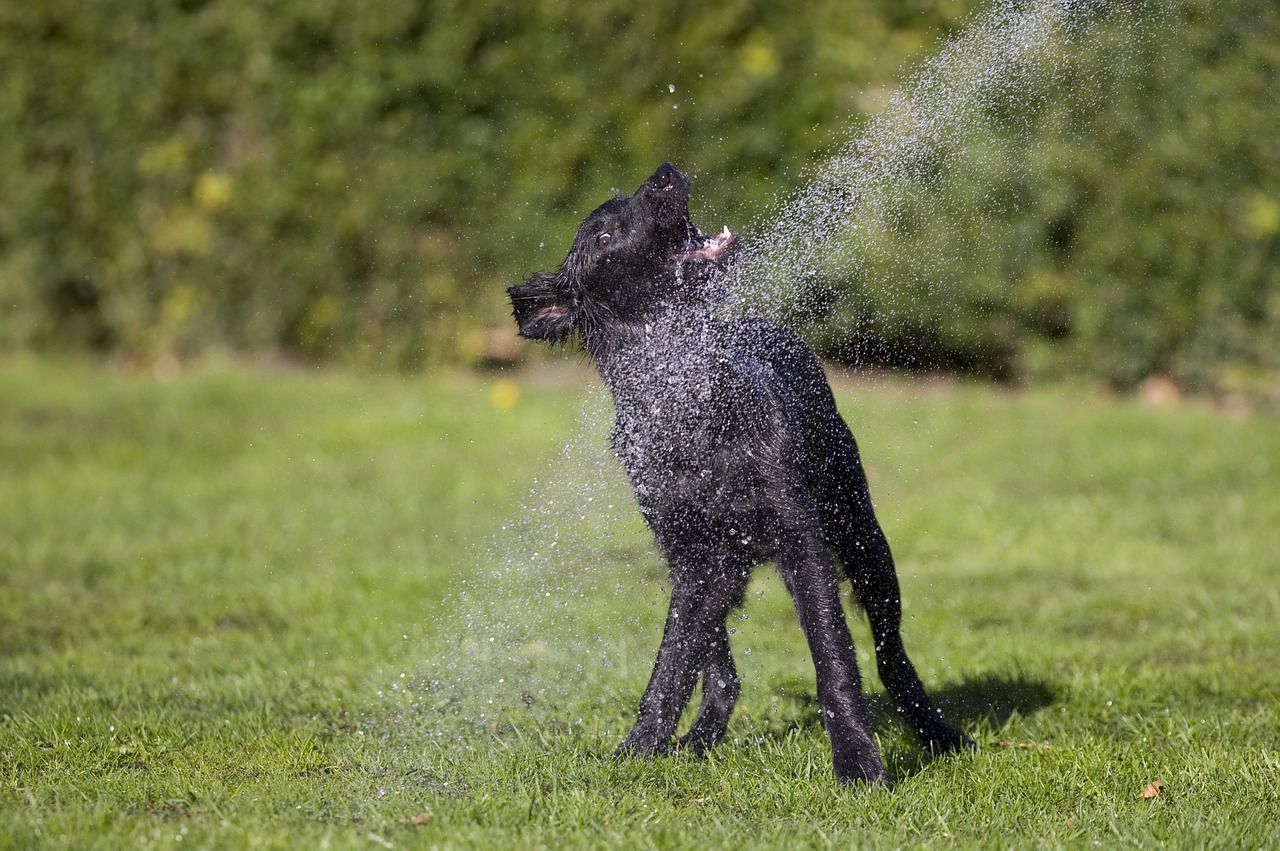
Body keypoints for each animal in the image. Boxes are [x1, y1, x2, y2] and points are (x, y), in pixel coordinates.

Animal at [509, 162, 967, 778]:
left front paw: (857, 762)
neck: (688, 399)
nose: (664, 172)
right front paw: (638, 752)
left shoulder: (802, 540)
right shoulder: (693, 561)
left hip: (863, 539)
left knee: (891, 658)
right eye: (603, 236)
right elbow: (672, 667)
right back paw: (700, 738)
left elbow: (834, 660)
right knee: (722, 674)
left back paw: (940, 734)